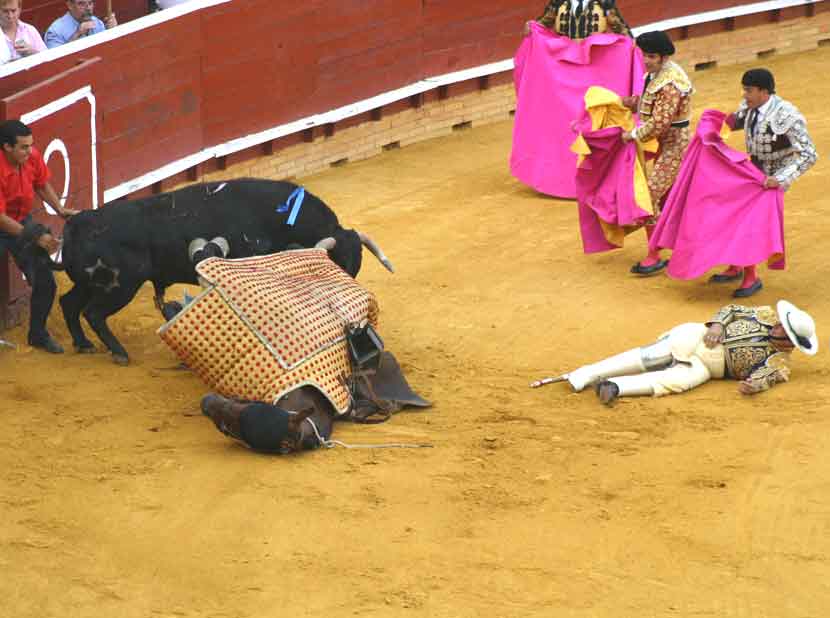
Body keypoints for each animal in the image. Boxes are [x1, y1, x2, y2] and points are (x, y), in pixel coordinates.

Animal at [57, 176, 394, 364]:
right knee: (93, 313)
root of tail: (78, 222)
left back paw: (83, 344)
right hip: (120, 284)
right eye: (338, 264)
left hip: (91, 283)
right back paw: (119, 353)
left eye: (354, 268)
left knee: (68, 303)